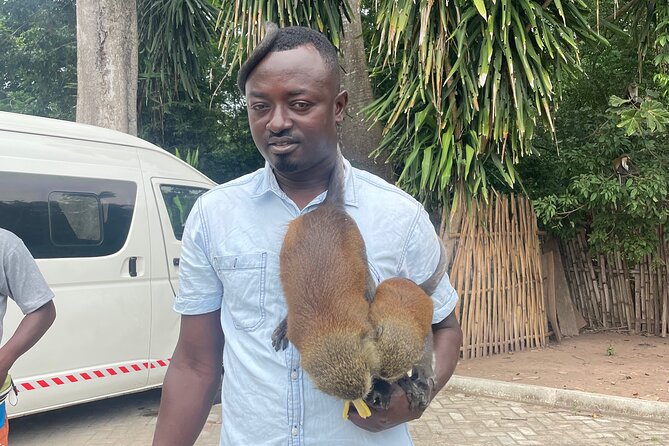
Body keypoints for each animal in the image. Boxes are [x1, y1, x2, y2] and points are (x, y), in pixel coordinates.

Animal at [272, 149, 378, 419]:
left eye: (368, 376)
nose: (364, 397)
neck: (327, 326)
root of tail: (327, 208)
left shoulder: (361, 318)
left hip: (354, 235)